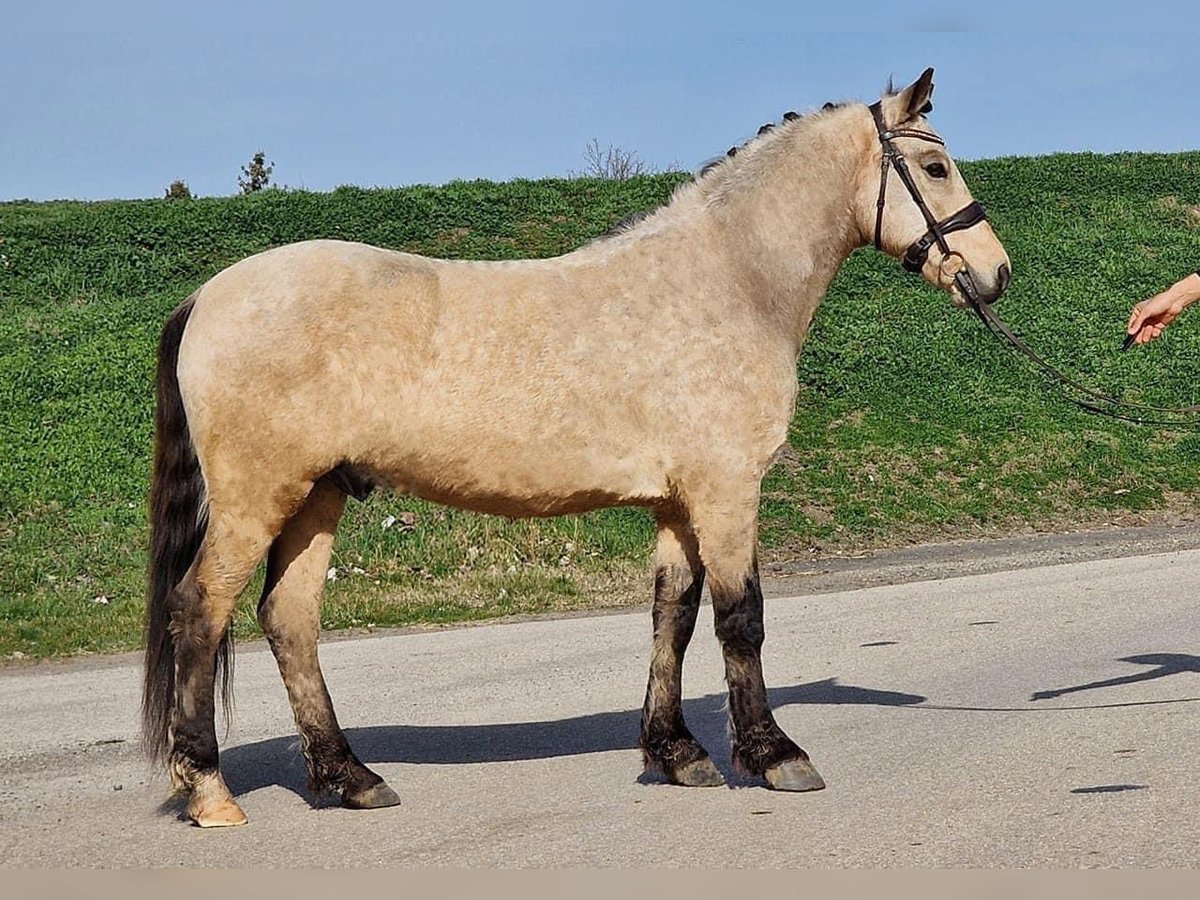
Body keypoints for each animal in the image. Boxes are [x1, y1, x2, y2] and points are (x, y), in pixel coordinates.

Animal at [140, 66, 1008, 830]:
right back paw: (211, 792)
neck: (722, 282)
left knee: (288, 620)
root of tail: (208, 296)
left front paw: (676, 753)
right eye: (934, 165)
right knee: (200, 612)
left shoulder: (677, 504)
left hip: (317, 496)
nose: (994, 274)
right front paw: (773, 756)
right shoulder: (728, 491)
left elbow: (672, 617)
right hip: (257, 499)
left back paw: (350, 778)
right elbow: (742, 620)